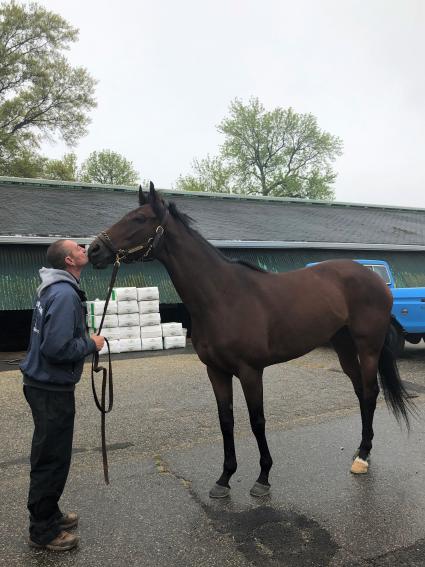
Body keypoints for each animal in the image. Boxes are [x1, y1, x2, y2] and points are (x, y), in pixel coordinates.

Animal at [88, 184, 410, 500]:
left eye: (139, 219)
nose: (94, 250)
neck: (222, 296)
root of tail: (374, 278)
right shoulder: (216, 372)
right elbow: (226, 421)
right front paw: (224, 478)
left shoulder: (250, 371)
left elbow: (257, 421)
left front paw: (263, 478)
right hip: (343, 346)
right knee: (360, 392)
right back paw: (360, 451)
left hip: (368, 346)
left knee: (371, 392)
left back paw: (363, 458)